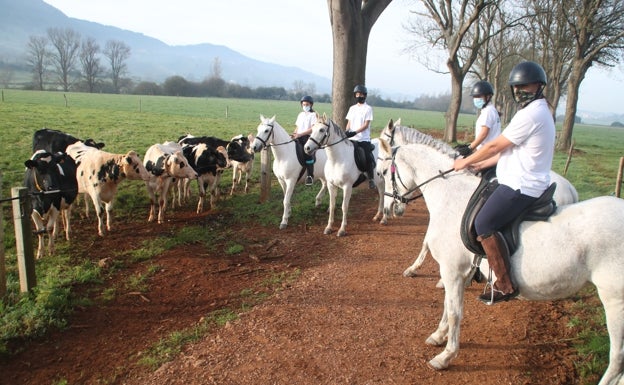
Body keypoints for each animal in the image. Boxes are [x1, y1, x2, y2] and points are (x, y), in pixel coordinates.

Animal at [376, 135, 624, 384]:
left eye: (386, 171)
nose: (389, 208)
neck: (451, 197)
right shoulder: (458, 272)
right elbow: (448, 305)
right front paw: (438, 336)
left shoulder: (451, 270)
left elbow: (455, 312)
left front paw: (446, 355)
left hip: (615, 301)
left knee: (617, 358)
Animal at [380, 117, 580, 280]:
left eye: (386, 171)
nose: (390, 207)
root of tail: (570, 188)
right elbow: (427, 242)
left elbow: (427, 242)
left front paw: (416, 269)